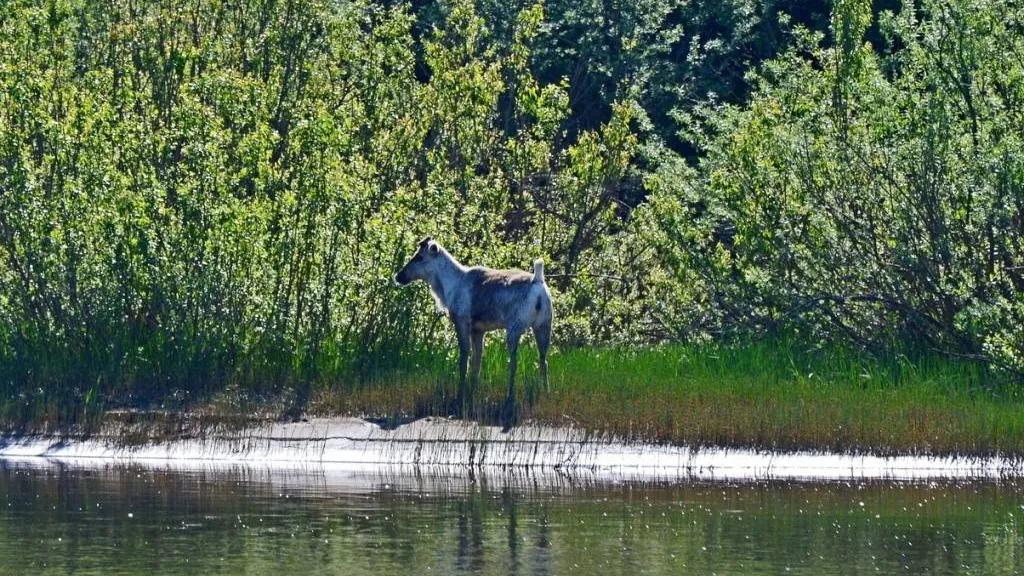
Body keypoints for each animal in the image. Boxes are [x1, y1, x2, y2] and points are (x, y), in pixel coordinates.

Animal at [393, 234, 552, 416]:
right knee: (543, 361)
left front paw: (460, 397)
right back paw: (546, 393)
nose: (398, 276)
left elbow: (464, 361)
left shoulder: (462, 321)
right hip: (544, 325)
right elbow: (476, 364)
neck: (447, 287)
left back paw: (510, 398)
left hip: (515, 327)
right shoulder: (478, 330)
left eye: (419, 257)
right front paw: (471, 394)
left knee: (514, 363)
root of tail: (538, 281)